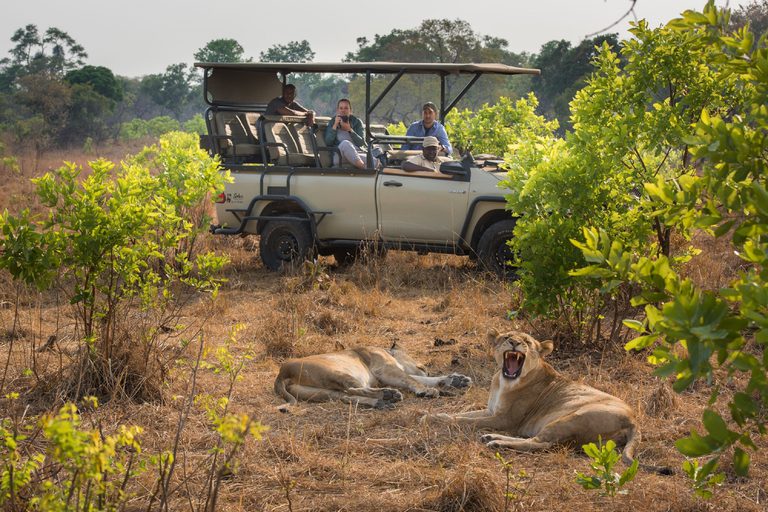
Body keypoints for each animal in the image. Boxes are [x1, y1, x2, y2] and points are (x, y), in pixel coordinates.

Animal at [274, 342, 472, 409]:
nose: (425, 367)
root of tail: (282, 372)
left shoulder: (386, 374)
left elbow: (423, 379)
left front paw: (458, 379)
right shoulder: (385, 370)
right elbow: (412, 379)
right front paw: (428, 391)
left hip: (320, 392)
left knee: (347, 397)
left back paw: (381, 403)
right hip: (337, 372)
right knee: (353, 389)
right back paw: (389, 395)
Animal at [428, 329, 641, 465]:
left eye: (527, 342)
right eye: (506, 337)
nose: (514, 343)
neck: (503, 381)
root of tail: (634, 421)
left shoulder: (505, 419)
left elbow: (465, 421)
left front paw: (432, 420)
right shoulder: (491, 411)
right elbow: (464, 414)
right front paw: (435, 415)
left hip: (572, 418)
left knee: (541, 443)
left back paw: (496, 442)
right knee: (540, 441)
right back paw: (491, 437)